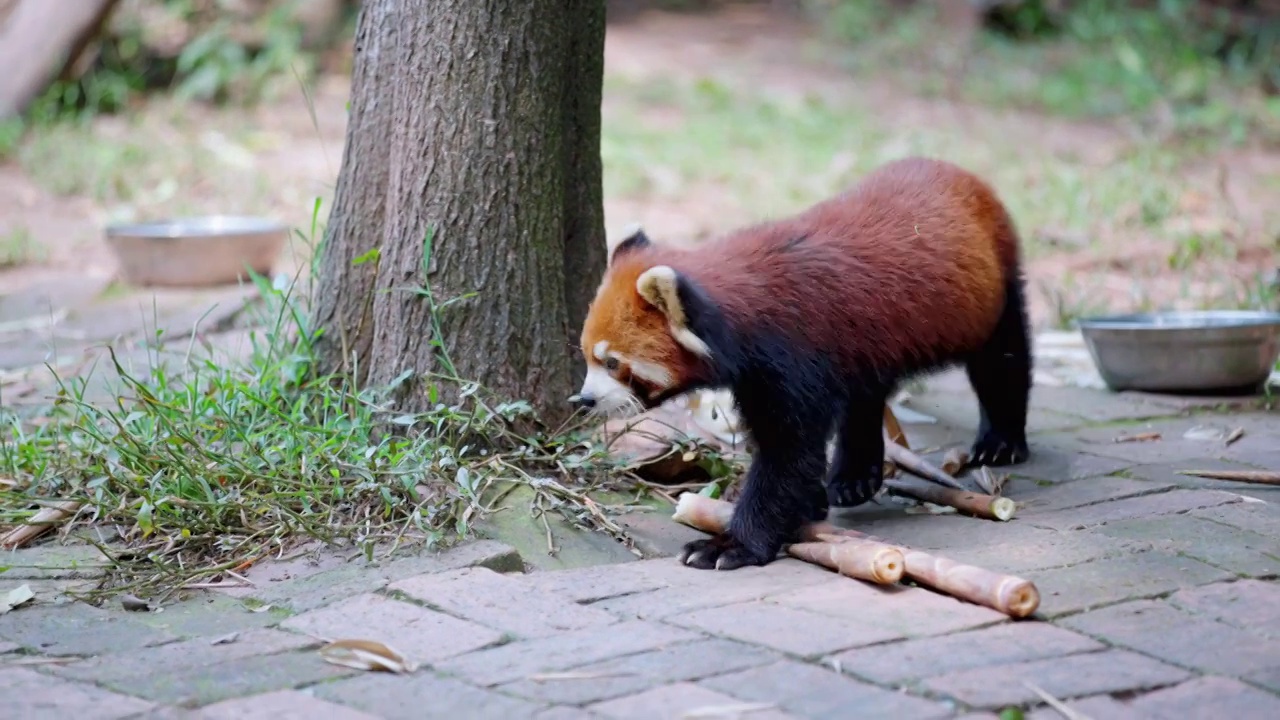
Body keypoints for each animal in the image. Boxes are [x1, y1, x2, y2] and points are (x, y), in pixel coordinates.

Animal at [576, 158, 1034, 571]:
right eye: (586, 356)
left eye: (613, 362)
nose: (583, 400)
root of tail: (963, 174)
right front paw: (807, 504)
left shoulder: (794, 356)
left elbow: (787, 454)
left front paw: (733, 545)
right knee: (866, 392)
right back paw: (854, 474)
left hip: (994, 288)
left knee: (1003, 361)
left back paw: (1001, 441)